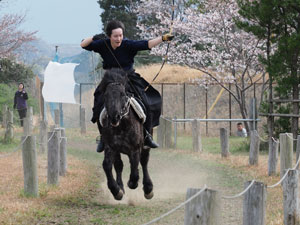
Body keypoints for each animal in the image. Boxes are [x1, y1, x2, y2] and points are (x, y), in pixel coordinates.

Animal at [99, 68, 155, 200]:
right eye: (106, 95)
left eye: (122, 94)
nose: (114, 117)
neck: (121, 126)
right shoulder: (111, 147)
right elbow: (107, 165)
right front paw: (116, 190)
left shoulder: (135, 149)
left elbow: (135, 168)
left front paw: (132, 183)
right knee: (119, 165)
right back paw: (120, 186)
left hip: (145, 144)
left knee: (144, 161)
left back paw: (148, 188)